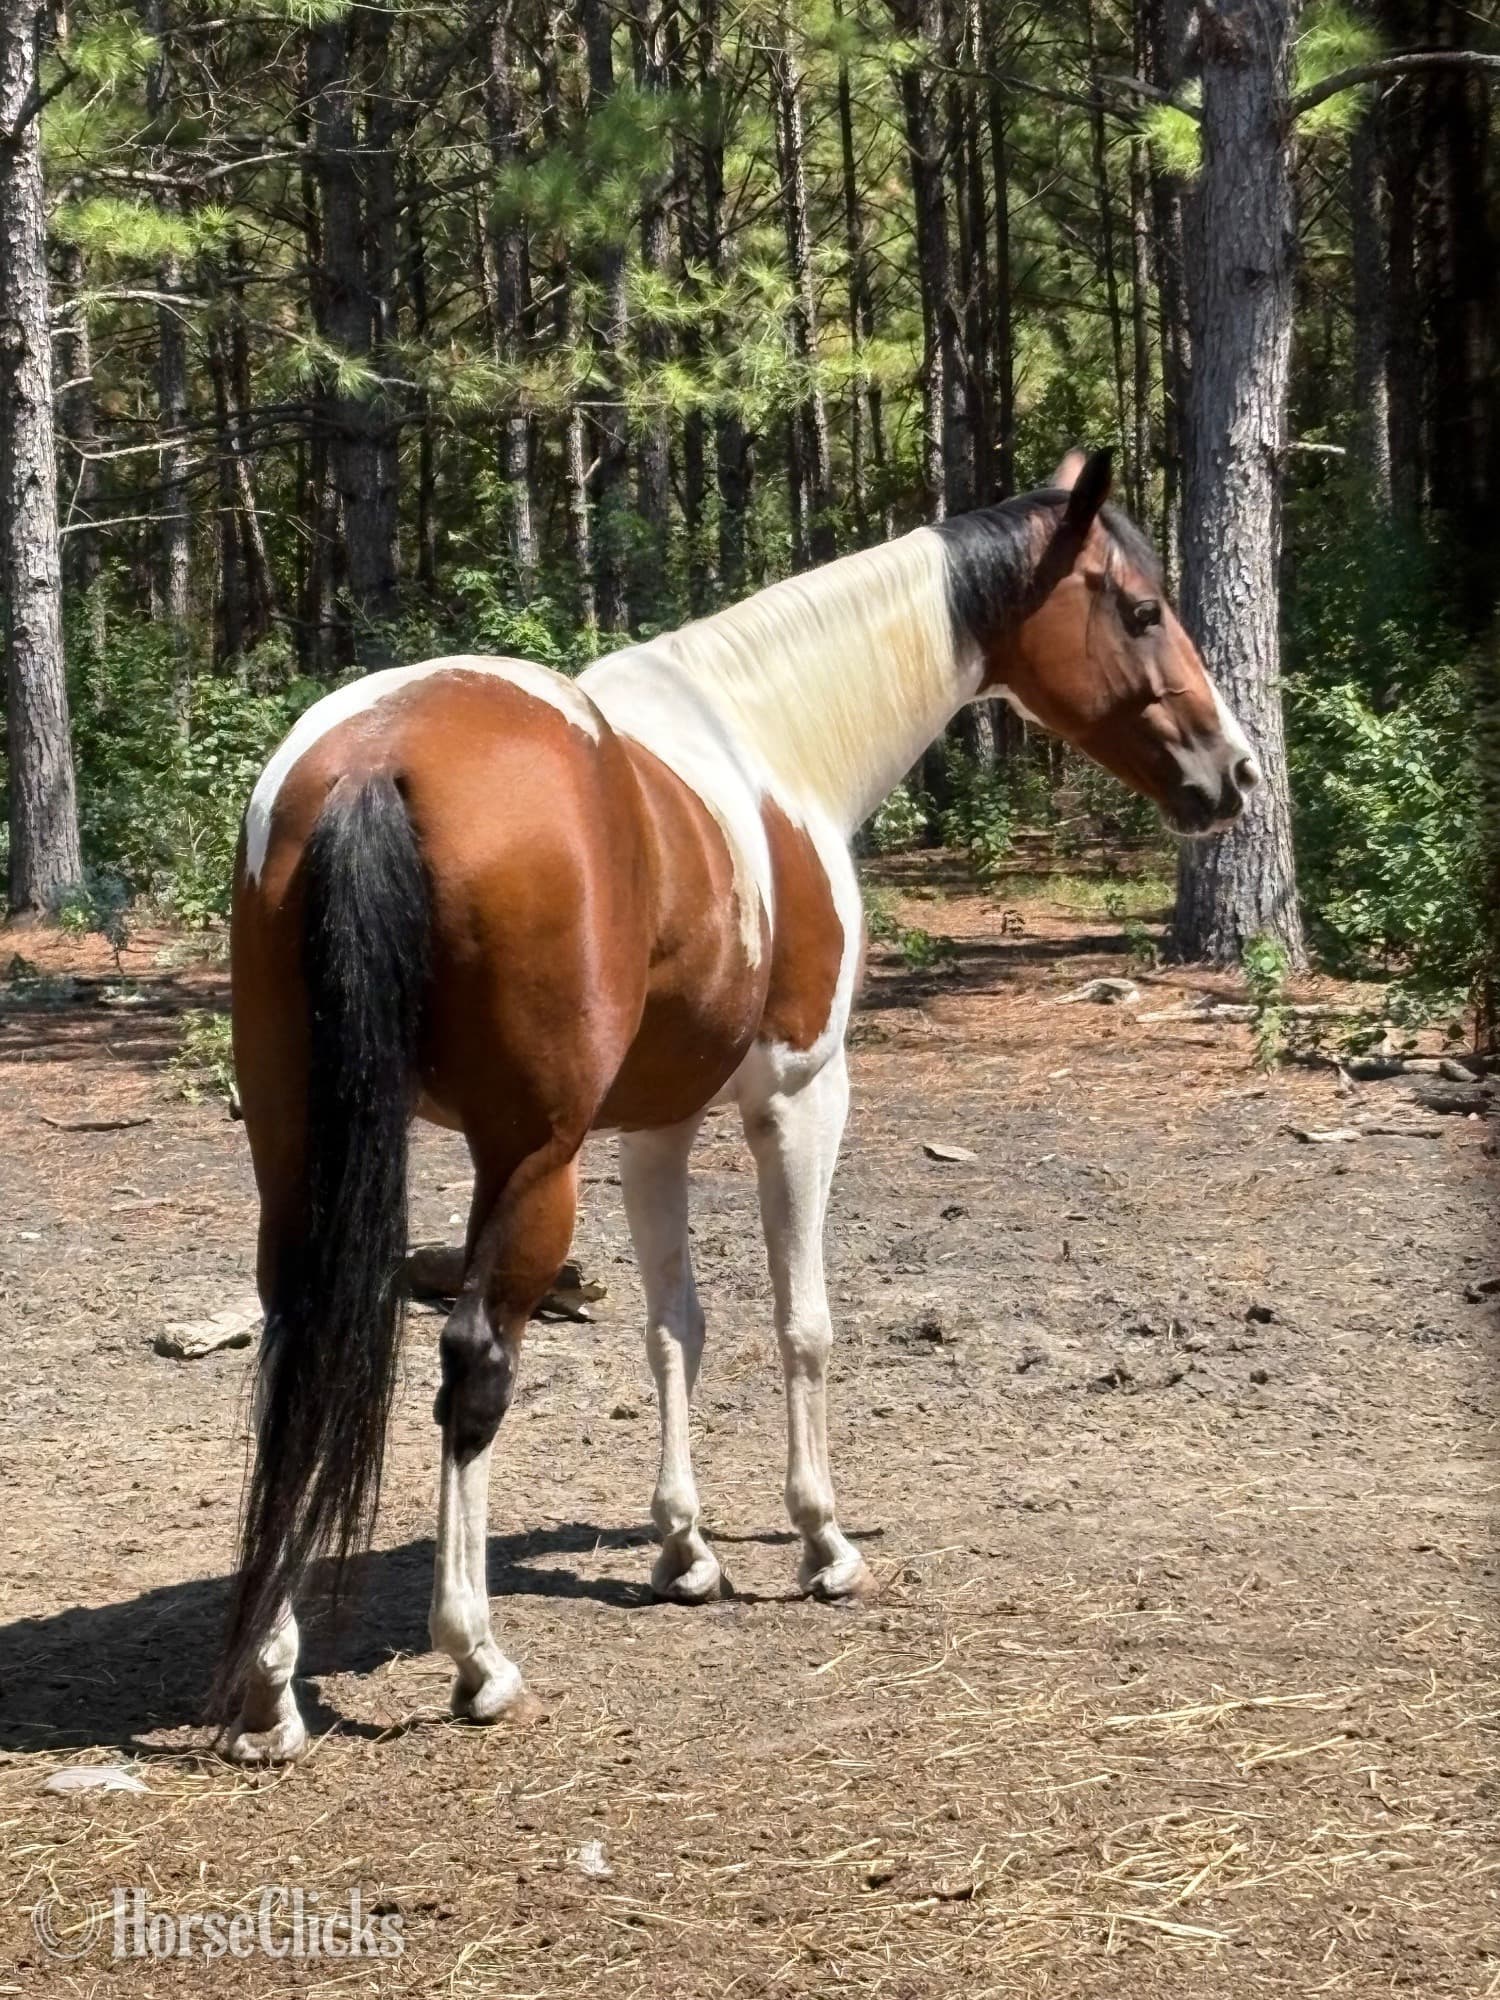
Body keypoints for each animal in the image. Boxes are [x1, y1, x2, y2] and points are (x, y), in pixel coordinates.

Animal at [216, 448, 1258, 1762]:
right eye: (1138, 607)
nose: (1236, 773)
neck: (772, 741)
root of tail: (372, 760)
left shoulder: (655, 1125)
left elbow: (676, 1328)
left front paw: (685, 1547)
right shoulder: (802, 1094)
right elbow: (800, 1321)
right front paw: (822, 1541)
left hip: (299, 1146)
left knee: (298, 1350)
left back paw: (269, 1685)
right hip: (529, 1159)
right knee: (473, 1362)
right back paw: (477, 1658)